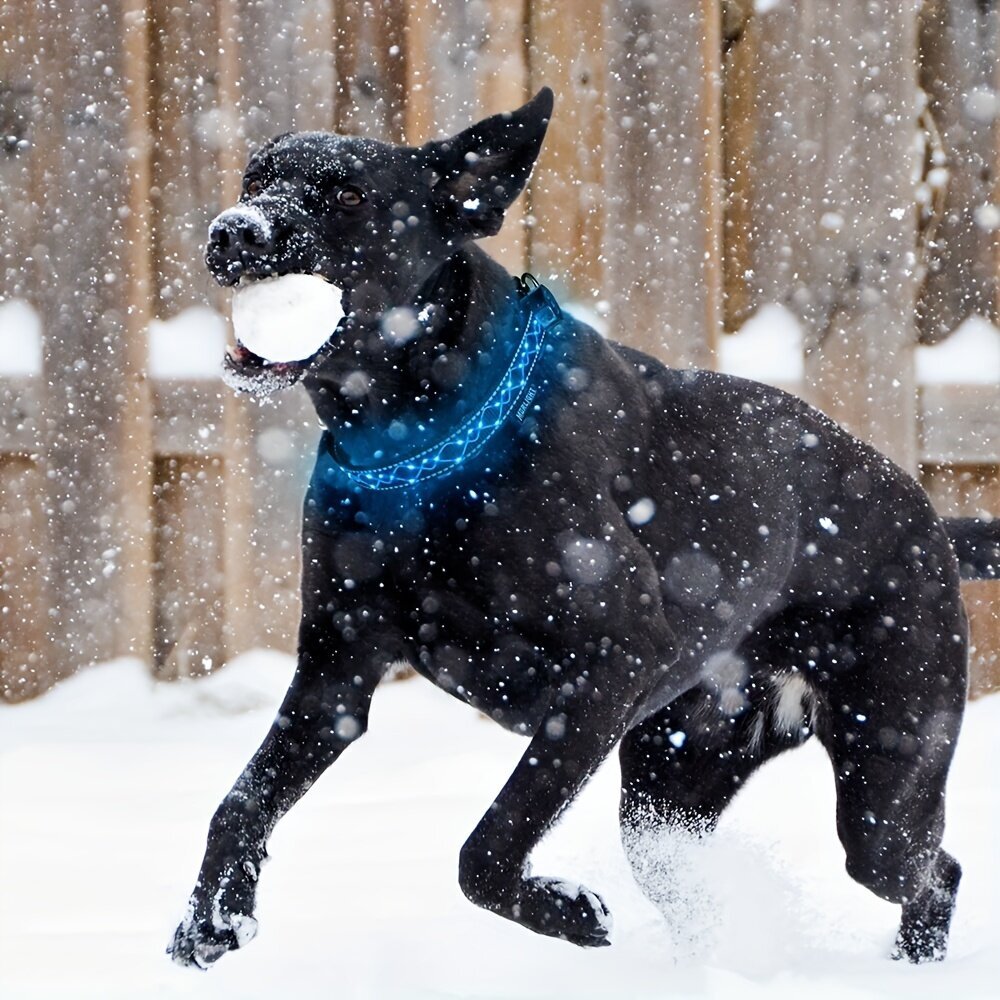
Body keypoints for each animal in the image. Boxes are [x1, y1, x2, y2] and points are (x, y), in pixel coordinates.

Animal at [168, 88, 996, 968]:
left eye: (352, 195)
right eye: (255, 178)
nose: (234, 231)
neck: (424, 447)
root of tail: (928, 517)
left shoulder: (608, 666)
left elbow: (486, 846)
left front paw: (565, 911)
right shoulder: (336, 671)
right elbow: (240, 801)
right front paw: (212, 918)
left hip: (887, 771)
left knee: (932, 869)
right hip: (672, 785)